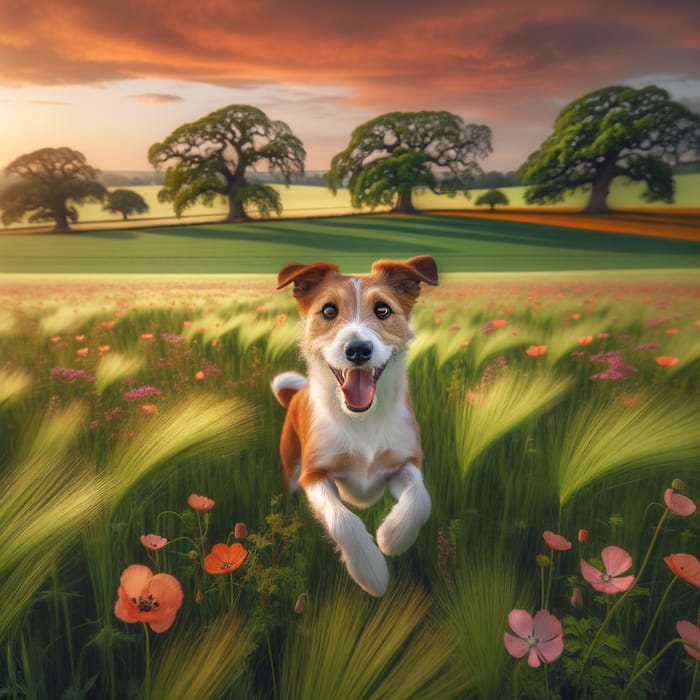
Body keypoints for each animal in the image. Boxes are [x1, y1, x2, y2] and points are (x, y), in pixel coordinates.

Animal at [272, 256, 438, 596]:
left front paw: (393, 536)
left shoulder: (404, 462)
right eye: (328, 311)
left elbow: (421, 499)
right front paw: (371, 570)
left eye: (383, 310)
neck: (363, 421)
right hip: (291, 463)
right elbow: (342, 520)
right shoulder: (314, 476)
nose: (358, 349)